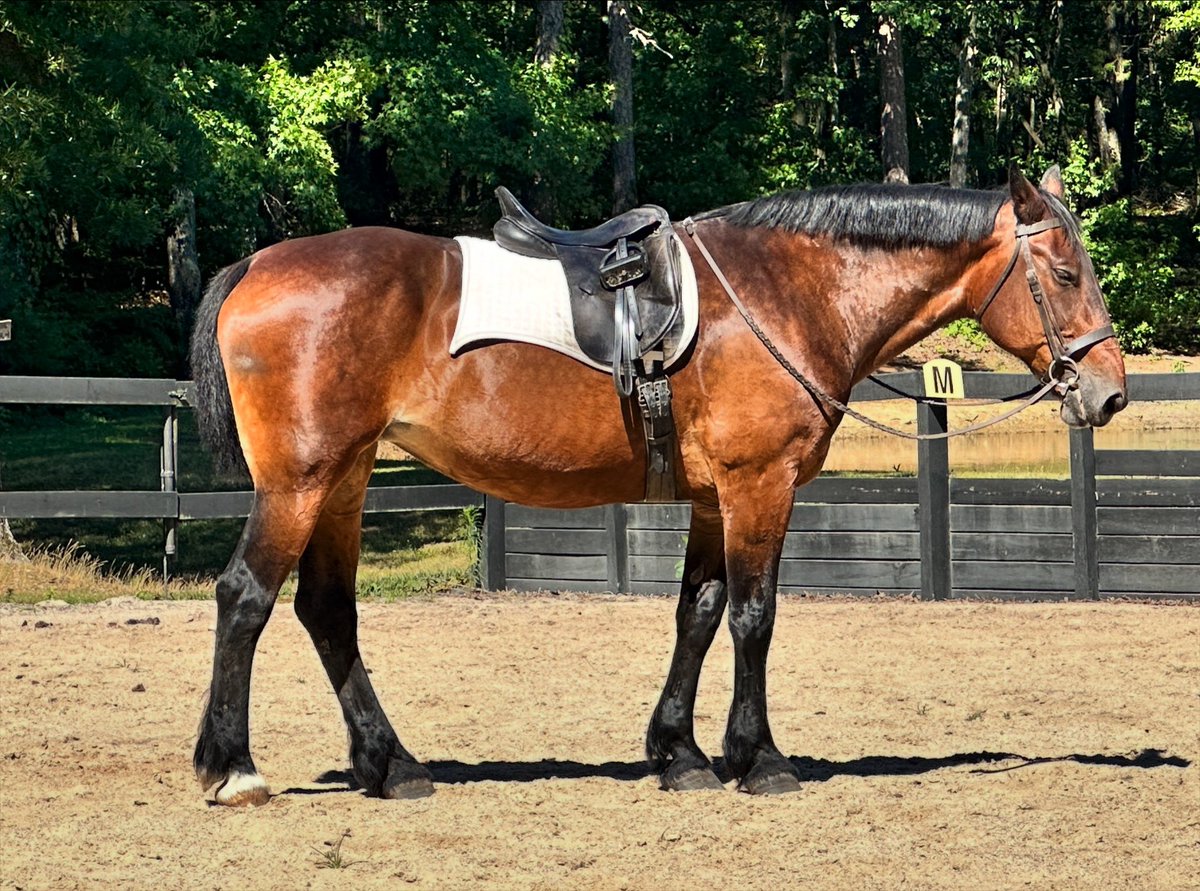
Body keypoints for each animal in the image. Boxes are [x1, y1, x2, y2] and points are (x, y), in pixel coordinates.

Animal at [189, 166, 1127, 806]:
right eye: (1067, 274)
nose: (1110, 391)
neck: (783, 293)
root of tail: (256, 266)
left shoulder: (715, 499)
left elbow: (698, 614)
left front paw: (679, 752)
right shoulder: (759, 486)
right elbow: (753, 616)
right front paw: (761, 758)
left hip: (342, 482)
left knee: (326, 611)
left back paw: (390, 763)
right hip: (300, 482)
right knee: (246, 596)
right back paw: (232, 767)